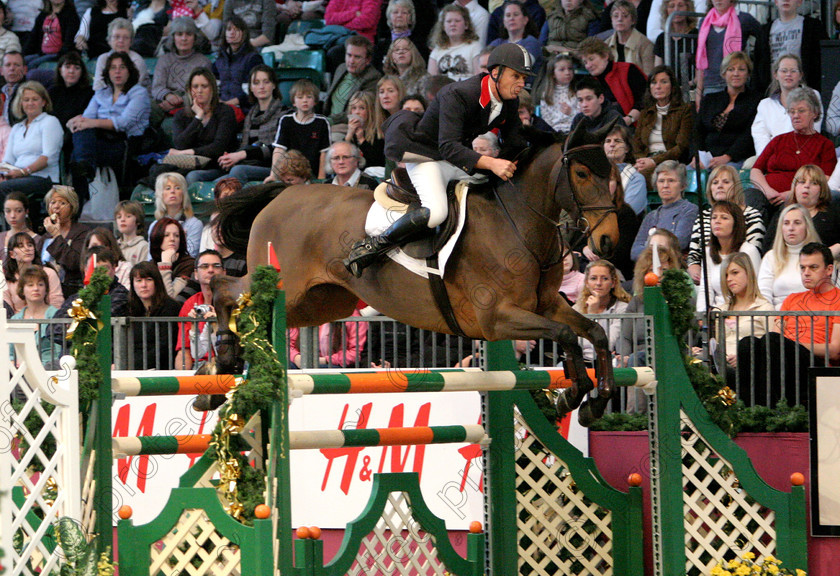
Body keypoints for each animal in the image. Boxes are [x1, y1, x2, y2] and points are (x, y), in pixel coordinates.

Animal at [215, 126, 624, 424]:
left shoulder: (546, 305)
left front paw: (594, 400)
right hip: (288, 286)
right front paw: (572, 394)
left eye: (614, 174)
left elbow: (594, 333)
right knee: (224, 290)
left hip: (321, 303)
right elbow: (567, 335)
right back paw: (223, 357)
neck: (518, 222)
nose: (608, 241)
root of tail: (280, 196)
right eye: (582, 173)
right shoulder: (497, 319)